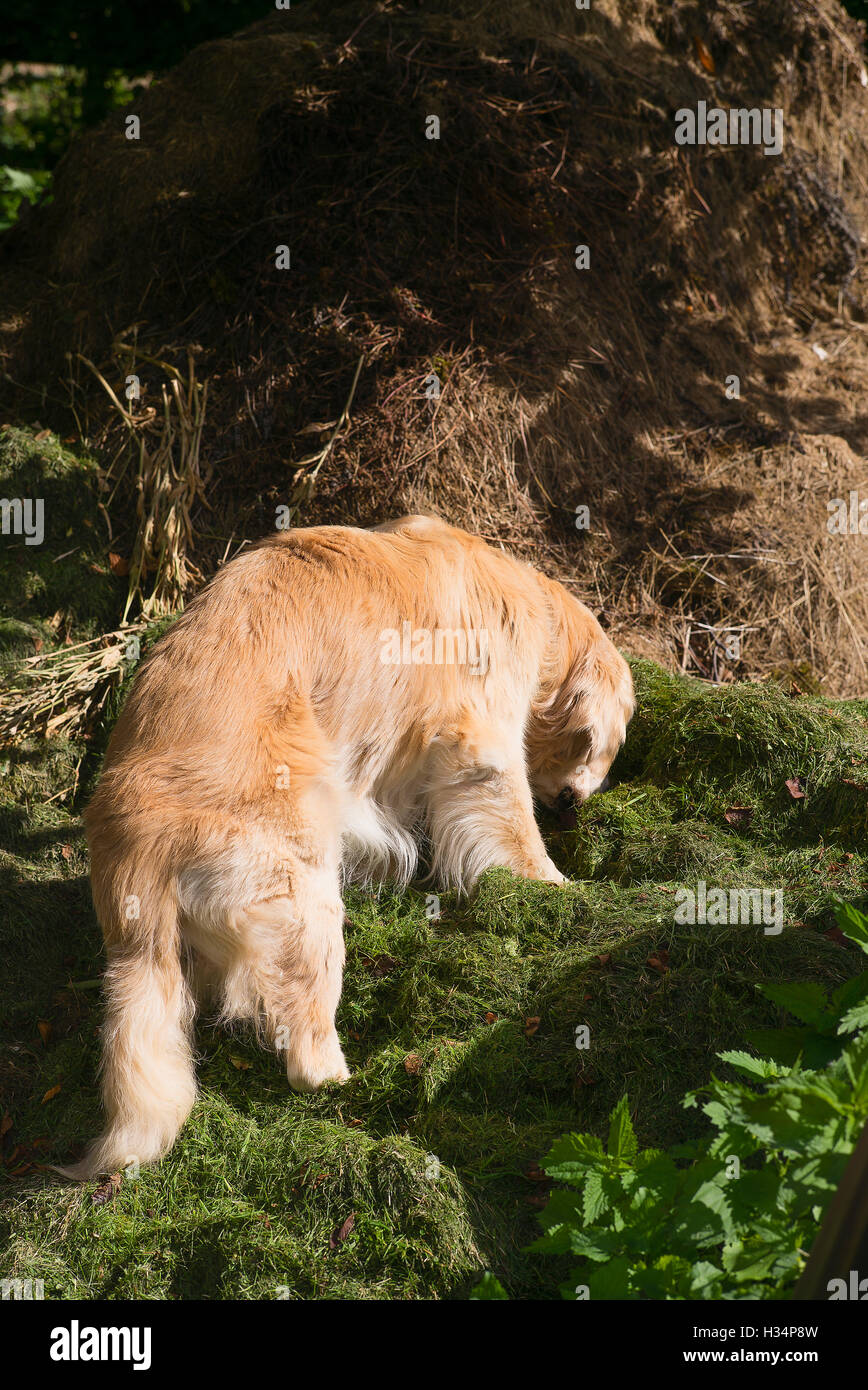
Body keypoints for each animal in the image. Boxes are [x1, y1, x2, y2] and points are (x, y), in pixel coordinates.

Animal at [61, 517, 631, 1178]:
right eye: (606, 748)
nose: (578, 804)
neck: (531, 604)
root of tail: (137, 838)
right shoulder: (480, 729)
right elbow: (509, 813)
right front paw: (554, 883)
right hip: (299, 884)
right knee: (304, 1026)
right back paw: (341, 1076)